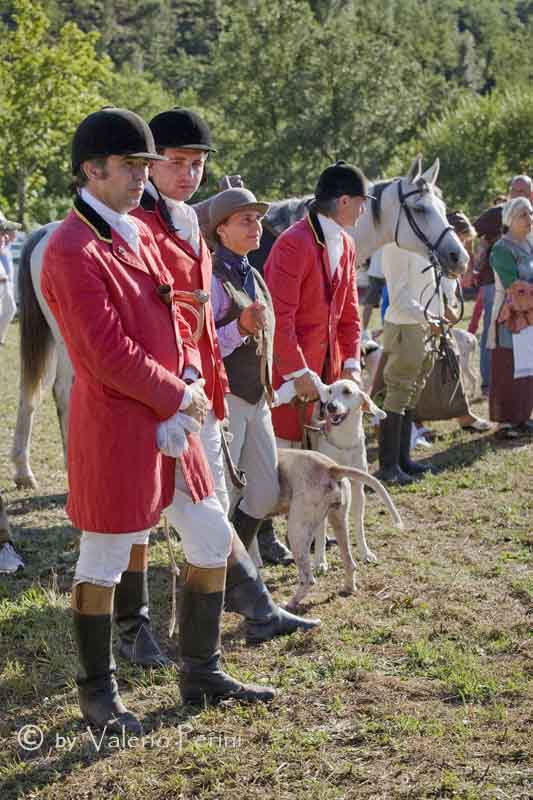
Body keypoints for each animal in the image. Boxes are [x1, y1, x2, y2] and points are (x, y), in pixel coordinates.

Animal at [11, 156, 466, 488]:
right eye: (420, 208)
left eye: (443, 207)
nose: (458, 256)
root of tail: (46, 232)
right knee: (67, 393)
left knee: (39, 395)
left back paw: (28, 470)